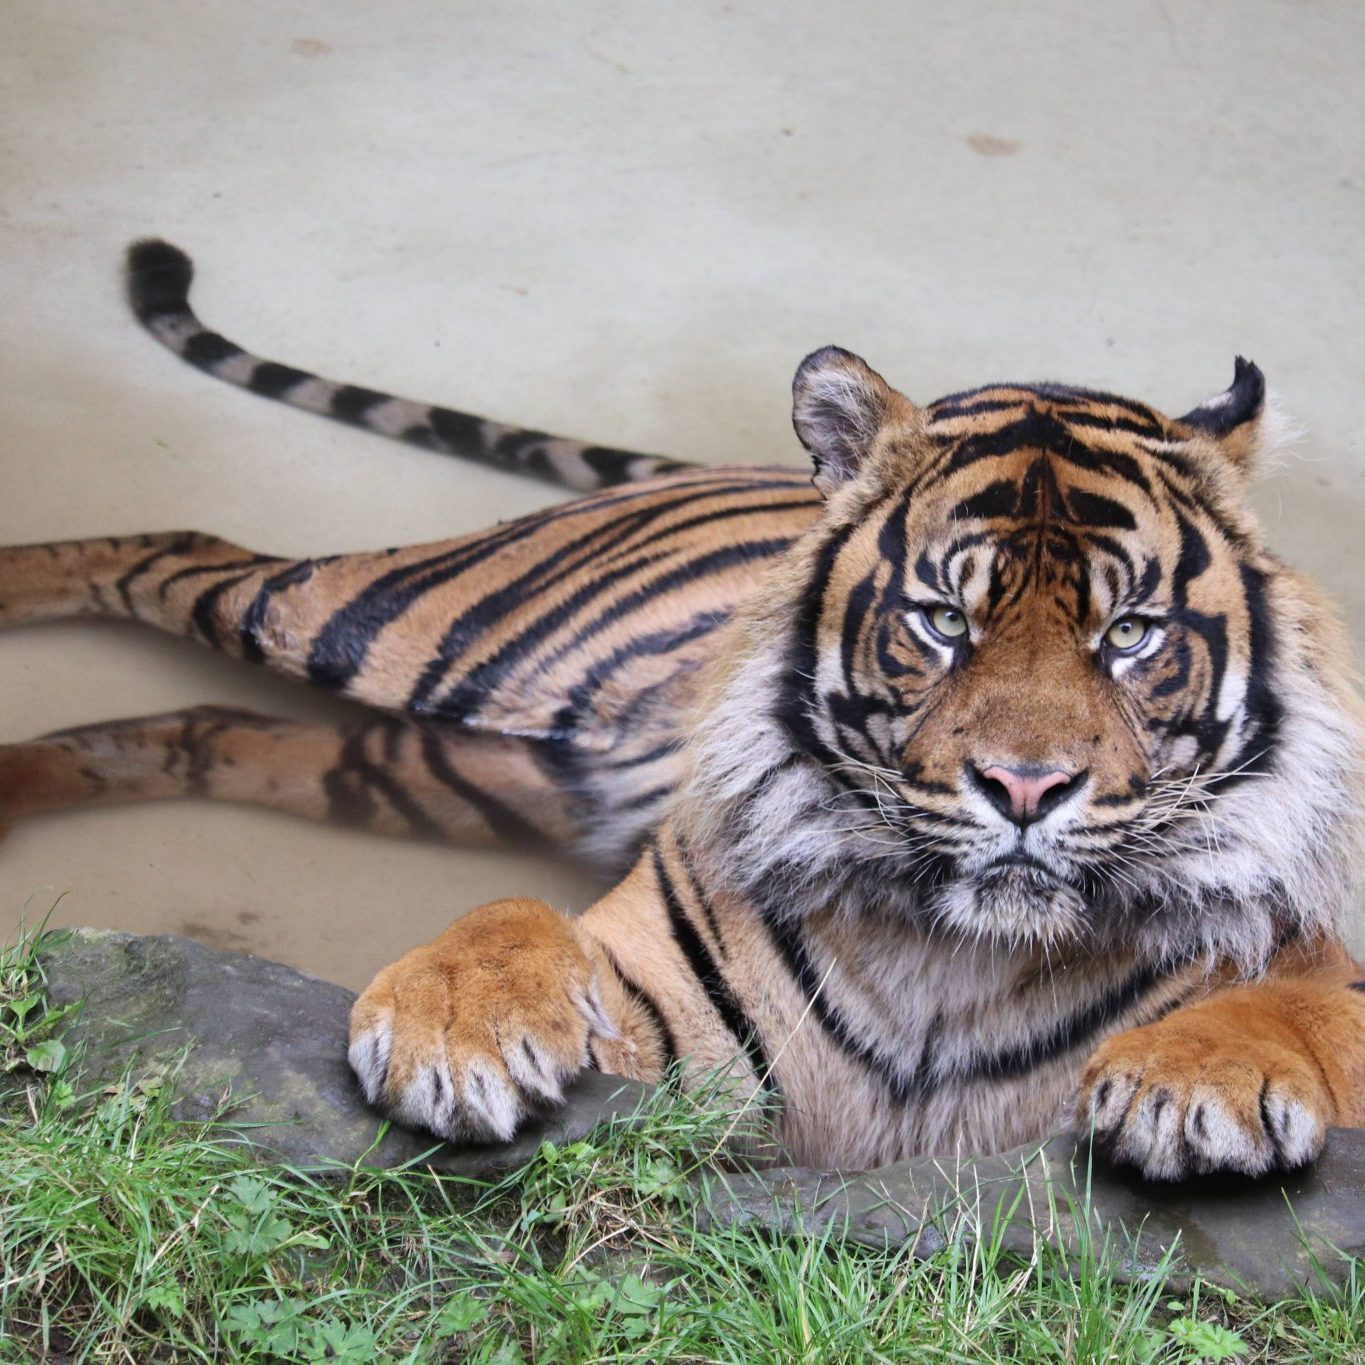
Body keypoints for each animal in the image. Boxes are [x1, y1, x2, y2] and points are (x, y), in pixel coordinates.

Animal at [2, 240, 1365, 1179]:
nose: (1024, 790)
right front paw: (453, 1031)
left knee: (193, 722)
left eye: (1128, 635)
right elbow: (515, 921)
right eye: (942, 620)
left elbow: (1304, 1000)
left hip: (444, 770)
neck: (951, 954)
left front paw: (1199, 1083)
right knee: (179, 546)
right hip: (401, 631)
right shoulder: (664, 1003)